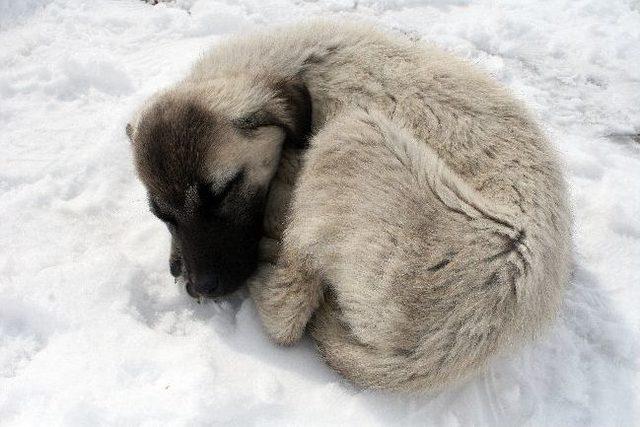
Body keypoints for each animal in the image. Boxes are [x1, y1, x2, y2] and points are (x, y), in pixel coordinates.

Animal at [127, 20, 572, 394]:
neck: (299, 73)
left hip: (349, 134)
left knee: (288, 311)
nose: (202, 288)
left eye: (223, 192)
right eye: (162, 215)